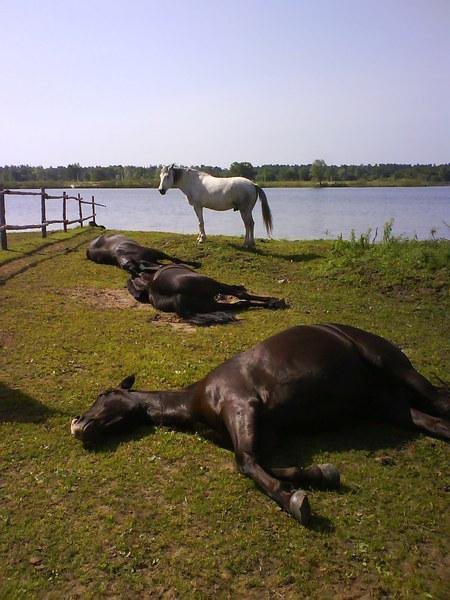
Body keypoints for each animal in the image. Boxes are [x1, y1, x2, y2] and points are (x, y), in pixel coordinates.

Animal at [71, 324, 450, 524]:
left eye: (104, 394)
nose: (78, 425)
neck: (198, 398)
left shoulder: (242, 407)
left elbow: (246, 463)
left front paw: (294, 501)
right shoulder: (264, 433)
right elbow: (270, 463)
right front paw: (319, 475)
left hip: (397, 370)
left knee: (441, 401)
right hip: (391, 407)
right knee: (434, 422)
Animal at [125, 264, 286, 326]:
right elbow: (239, 291)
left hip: (210, 304)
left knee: (241, 303)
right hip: (213, 285)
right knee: (242, 296)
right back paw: (275, 301)